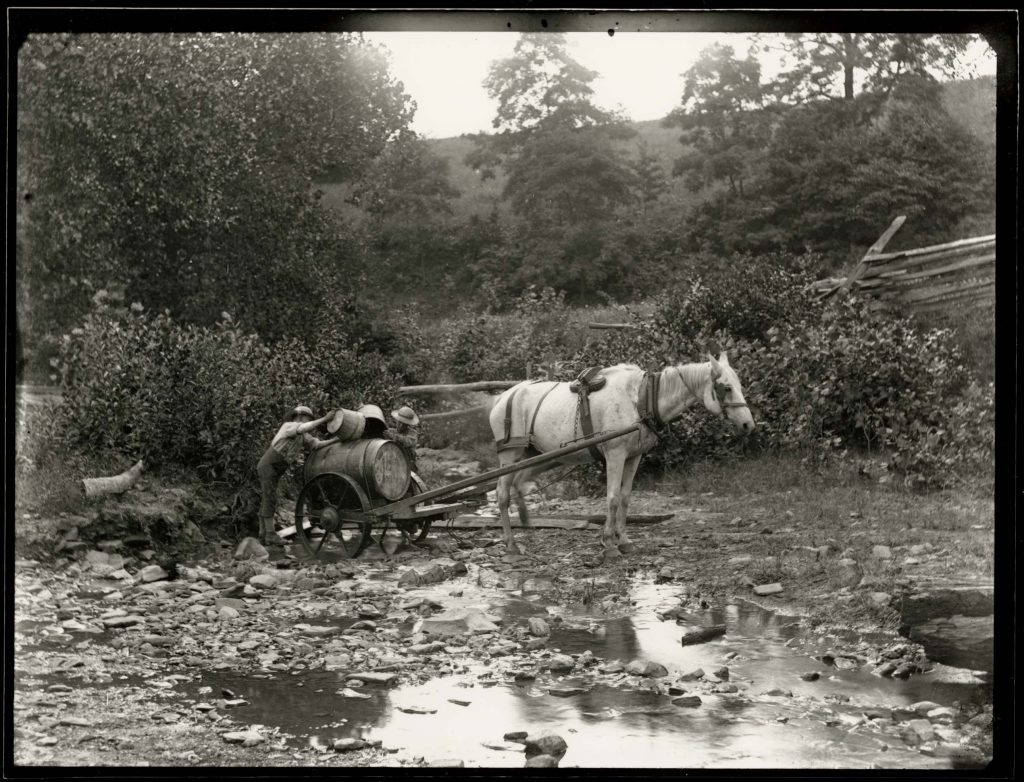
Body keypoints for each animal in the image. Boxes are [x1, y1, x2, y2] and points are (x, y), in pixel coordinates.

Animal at [487, 352, 753, 560]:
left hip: (531, 454)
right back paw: (511, 544)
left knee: (518, 484)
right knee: (502, 494)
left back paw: (526, 525)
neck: (640, 400)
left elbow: (625, 498)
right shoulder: (615, 455)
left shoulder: (634, 456)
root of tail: (504, 396)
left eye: (739, 385)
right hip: (509, 455)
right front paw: (608, 544)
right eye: (726, 387)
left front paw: (623, 540)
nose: (749, 425)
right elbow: (613, 497)